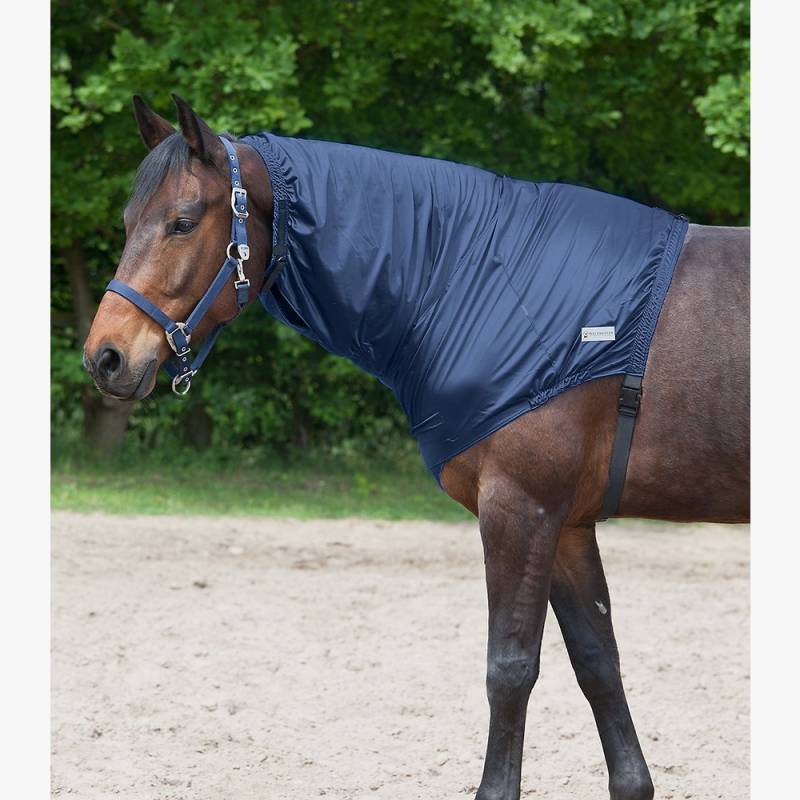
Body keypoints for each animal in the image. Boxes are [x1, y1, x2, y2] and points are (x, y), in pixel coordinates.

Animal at [83, 95, 749, 800]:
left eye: (182, 223)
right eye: (128, 221)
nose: (105, 356)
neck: (474, 274)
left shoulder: (522, 510)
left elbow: (510, 669)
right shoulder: (567, 523)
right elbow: (598, 662)